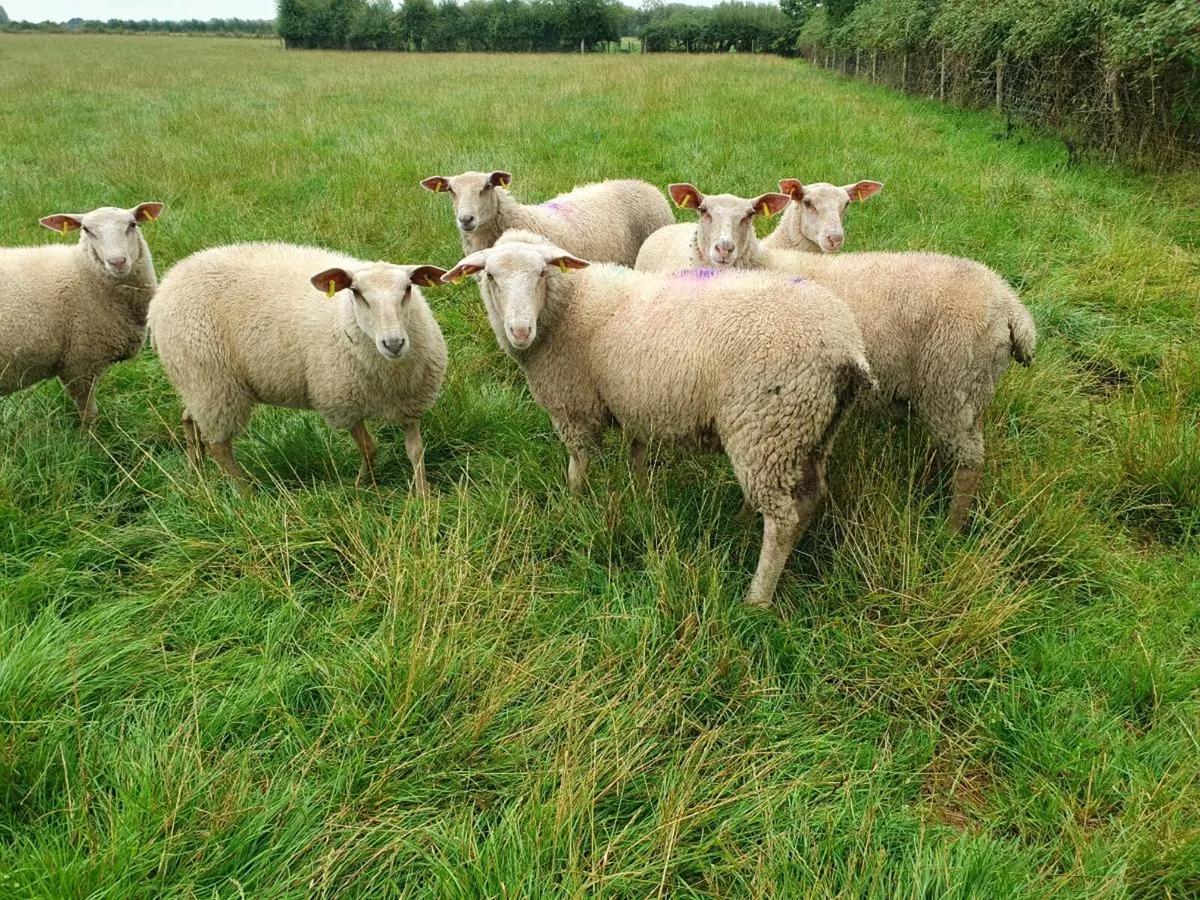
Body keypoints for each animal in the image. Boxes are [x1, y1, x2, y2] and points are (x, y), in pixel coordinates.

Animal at [0, 202, 163, 428]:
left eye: (132, 224)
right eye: (86, 230)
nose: (118, 262)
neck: (83, 271)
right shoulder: (81, 361)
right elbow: (88, 410)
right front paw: (90, 436)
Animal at [148, 242, 448, 495]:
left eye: (408, 289)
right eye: (356, 292)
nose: (393, 343)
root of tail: (168, 282)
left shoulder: (409, 403)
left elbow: (415, 451)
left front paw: (423, 497)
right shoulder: (342, 403)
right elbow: (369, 449)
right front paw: (361, 485)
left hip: (195, 383)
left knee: (190, 420)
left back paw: (195, 472)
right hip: (213, 383)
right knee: (218, 444)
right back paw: (245, 494)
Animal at [443, 229, 875, 610]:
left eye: (542, 274)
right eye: (490, 276)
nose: (520, 330)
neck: (569, 305)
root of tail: (844, 347)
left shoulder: (574, 407)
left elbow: (578, 464)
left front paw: (574, 504)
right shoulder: (635, 403)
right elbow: (635, 454)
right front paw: (638, 495)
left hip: (767, 425)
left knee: (782, 519)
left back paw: (758, 596)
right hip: (810, 430)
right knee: (809, 497)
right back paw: (746, 523)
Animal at [636, 184, 1036, 532]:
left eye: (749, 215)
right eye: (703, 211)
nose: (724, 249)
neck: (759, 262)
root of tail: (1012, 307)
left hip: (952, 382)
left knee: (970, 463)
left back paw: (950, 530)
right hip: (965, 391)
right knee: (952, 450)